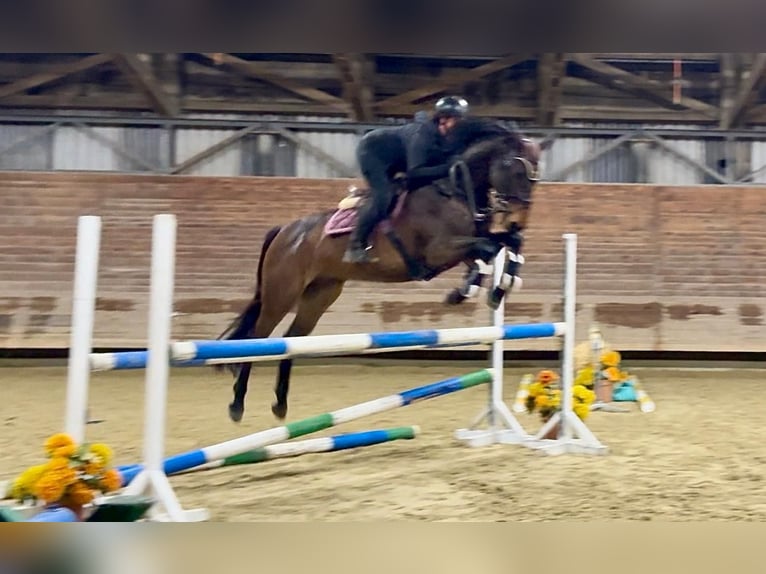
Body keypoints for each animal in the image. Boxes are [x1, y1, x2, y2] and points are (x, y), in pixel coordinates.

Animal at [216, 120, 541, 423]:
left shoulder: (464, 246)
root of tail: (285, 231)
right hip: (281, 293)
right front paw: (469, 289)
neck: (454, 190)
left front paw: (499, 286)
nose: (519, 219)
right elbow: (488, 248)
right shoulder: (439, 250)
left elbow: (505, 243)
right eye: (516, 170)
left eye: (535, 176)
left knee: (292, 339)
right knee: (257, 339)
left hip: (320, 294)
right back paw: (236, 405)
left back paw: (280, 404)